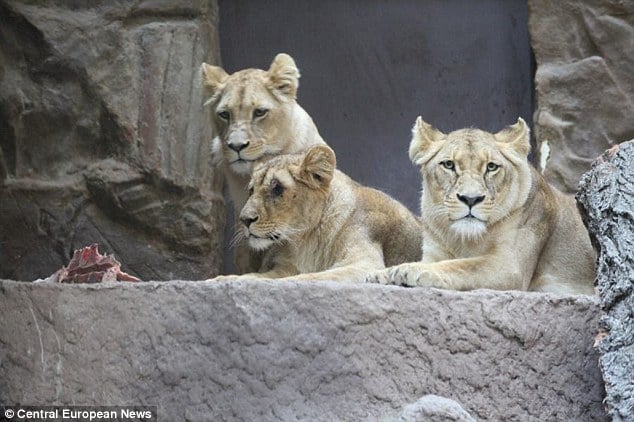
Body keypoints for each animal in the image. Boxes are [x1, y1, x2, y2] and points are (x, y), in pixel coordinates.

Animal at [210, 145, 422, 284]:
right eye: (251, 191)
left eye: (277, 189)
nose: (244, 220)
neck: (305, 239)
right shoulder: (285, 266)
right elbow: (255, 277)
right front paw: (222, 279)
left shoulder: (366, 263)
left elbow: (308, 277)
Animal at [362, 115, 596, 294]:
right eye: (449, 164)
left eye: (491, 167)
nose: (471, 199)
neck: (462, 239)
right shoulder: (433, 253)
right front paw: (380, 274)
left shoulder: (508, 266)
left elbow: (462, 266)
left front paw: (412, 271)